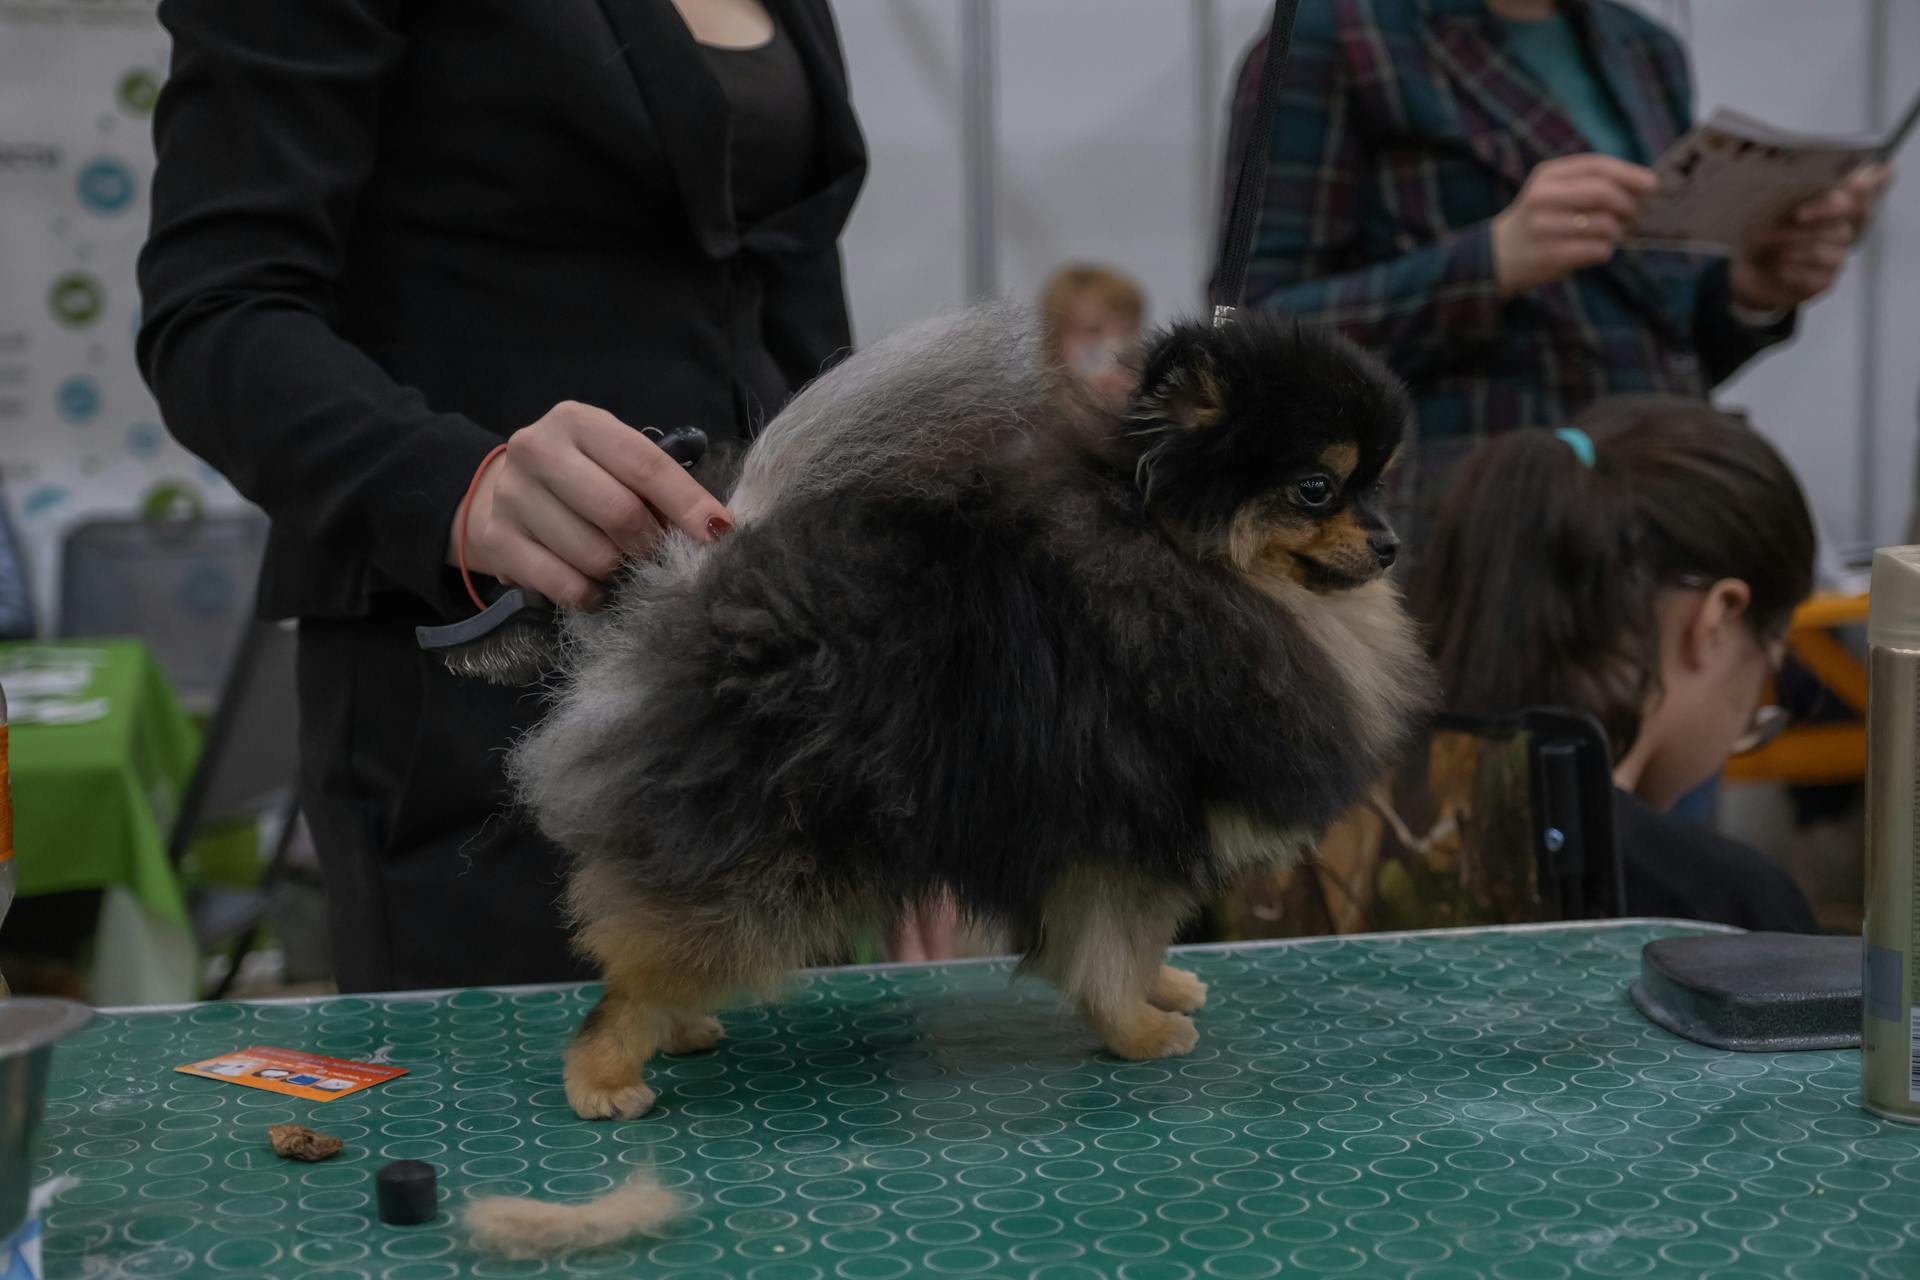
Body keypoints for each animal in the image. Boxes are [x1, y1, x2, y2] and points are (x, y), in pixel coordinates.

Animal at [518, 301, 1436, 1120]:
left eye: (1378, 481)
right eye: (1317, 487)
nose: (1390, 544)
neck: (1181, 558)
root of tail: (706, 581)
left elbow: (1139, 942)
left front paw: (1164, 987)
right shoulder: (1121, 824)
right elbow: (1114, 943)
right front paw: (1139, 1030)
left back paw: (677, 1030)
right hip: (771, 846)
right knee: (646, 965)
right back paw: (603, 1075)